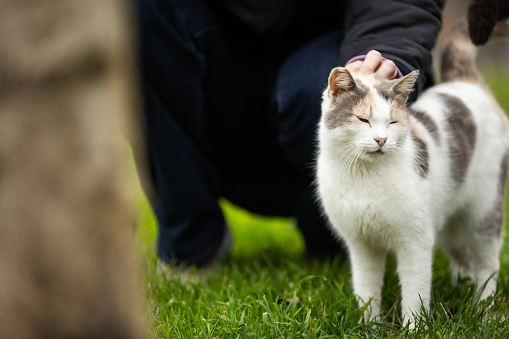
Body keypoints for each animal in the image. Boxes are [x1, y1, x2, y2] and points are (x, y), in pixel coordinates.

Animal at [316, 18, 506, 330]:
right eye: (363, 120)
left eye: (393, 122)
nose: (381, 139)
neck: (364, 177)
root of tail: (464, 81)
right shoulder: (361, 245)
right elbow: (367, 289)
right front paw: (370, 326)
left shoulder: (415, 241)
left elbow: (415, 292)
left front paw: (413, 328)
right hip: (447, 219)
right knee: (463, 255)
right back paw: (463, 288)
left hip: (484, 209)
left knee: (488, 264)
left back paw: (483, 310)